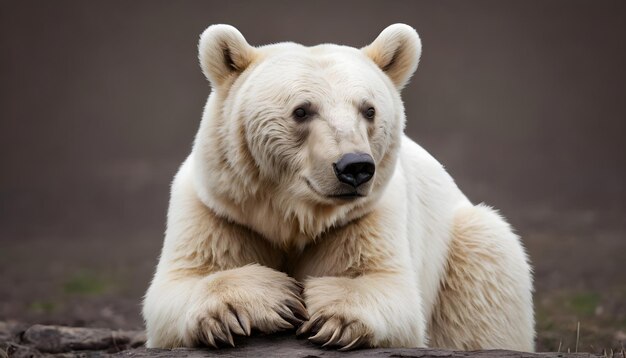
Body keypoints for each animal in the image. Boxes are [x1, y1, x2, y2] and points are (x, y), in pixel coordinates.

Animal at [141, 23, 532, 352]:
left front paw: (333, 319)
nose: (355, 167)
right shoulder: (219, 210)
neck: (292, 216)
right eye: (301, 110)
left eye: (369, 110)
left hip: (467, 252)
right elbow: (181, 284)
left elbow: (386, 287)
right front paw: (268, 302)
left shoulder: (367, 216)